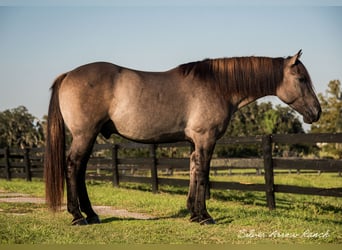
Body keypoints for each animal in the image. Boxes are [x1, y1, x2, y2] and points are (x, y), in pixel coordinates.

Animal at [44, 49, 320, 226]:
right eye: (301, 79)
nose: (316, 112)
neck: (218, 86)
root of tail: (68, 74)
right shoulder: (206, 140)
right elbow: (204, 175)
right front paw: (205, 216)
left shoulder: (194, 143)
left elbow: (193, 172)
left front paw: (194, 213)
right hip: (84, 135)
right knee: (73, 167)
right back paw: (78, 216)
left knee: (80, 170)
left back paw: (91, 214)